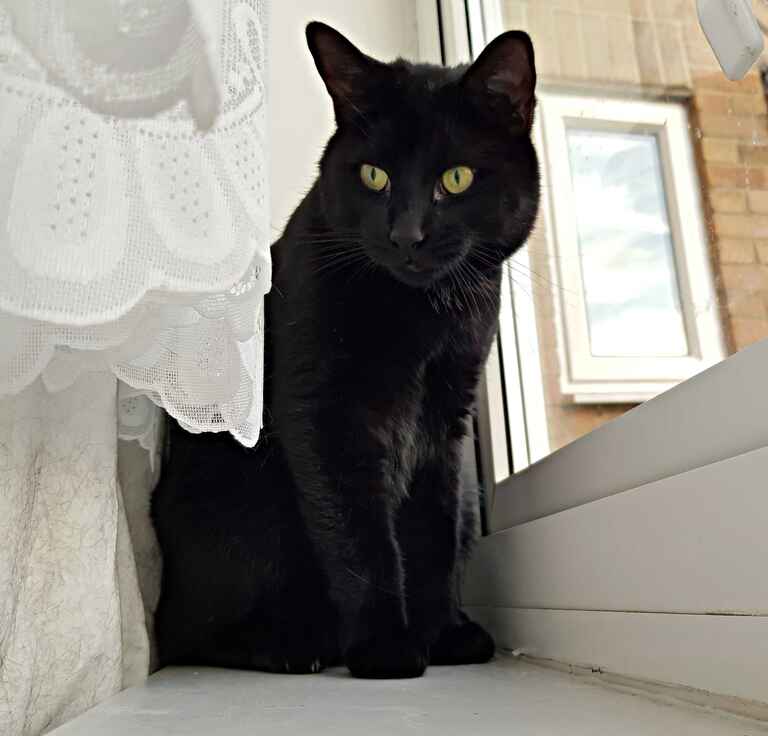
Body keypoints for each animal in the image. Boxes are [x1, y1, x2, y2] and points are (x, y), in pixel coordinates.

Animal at [152, 21, 539, 680]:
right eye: (374, 176)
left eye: (456, 178)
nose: (406, 234)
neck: (421, 318)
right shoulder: (326, 416)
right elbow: (360, 538)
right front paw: (387, 647)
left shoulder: (445, 422)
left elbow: (431, 534)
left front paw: (442, 633)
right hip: (238, 501)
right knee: (185, 631)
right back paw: (290, 644)